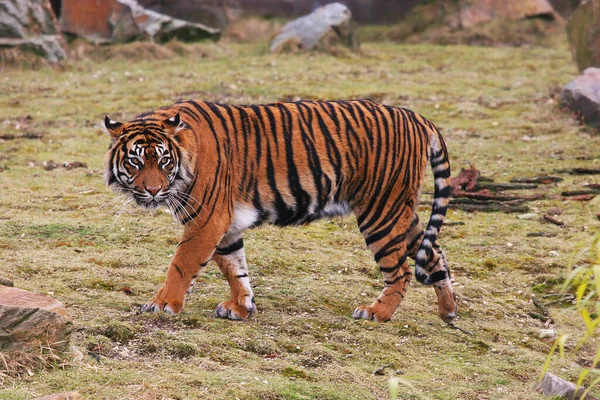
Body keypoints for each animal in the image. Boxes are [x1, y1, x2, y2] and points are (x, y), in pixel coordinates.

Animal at [104, 98, 460, 324]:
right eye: (135, 161)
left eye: (164, 160)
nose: (153, 190)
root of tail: (417, 117)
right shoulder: (225, 225)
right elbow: (234, 267)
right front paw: (242, 307)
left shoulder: (207, 220)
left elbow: (181, 264)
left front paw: (162, 304)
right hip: (399, 211)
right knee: (435, 255)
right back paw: (448, 312)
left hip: (381, 214)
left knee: (401, 271)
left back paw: (376, 313)